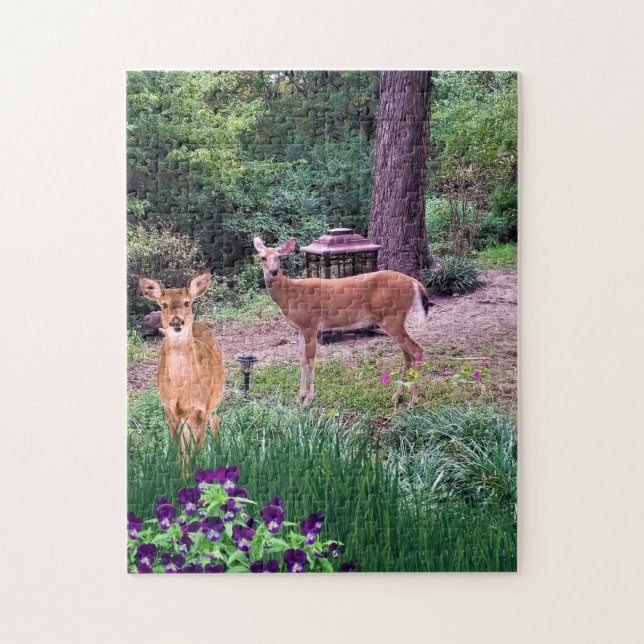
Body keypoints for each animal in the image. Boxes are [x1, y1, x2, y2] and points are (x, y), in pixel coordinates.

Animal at [138, 271, 225, 465]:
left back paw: (220, 454)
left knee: (215, 421)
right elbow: (179, 451)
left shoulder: (201, 408)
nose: (176, 321)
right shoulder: (169, 408)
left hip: (216, 396)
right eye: (163, 305)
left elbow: (196, 452)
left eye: (187, 302)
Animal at [253, 237, 431, 407]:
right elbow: (302, 360)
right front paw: (300, 396)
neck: (289, 295)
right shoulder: (299, 329)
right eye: (262, 257)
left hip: (392, 317)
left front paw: (309, 398)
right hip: (394, 320)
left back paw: (413, 400)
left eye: (278, 256)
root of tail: (415, 283)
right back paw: (396, 396)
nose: (274, 271)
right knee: (407, 355)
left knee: (416, 350)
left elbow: (311, 360)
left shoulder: (310, 325)